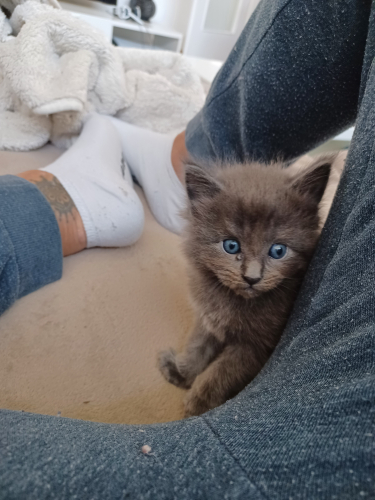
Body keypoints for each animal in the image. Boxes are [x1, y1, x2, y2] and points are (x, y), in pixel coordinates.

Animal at [157, 154, 340, 416]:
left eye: (278, 250)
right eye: (231, 246)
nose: (252, 277)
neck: (233, 301)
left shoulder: (257, 346)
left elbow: (222, 371)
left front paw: (198, 402)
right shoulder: (208, 317)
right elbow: (197, 344)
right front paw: (181, 371)